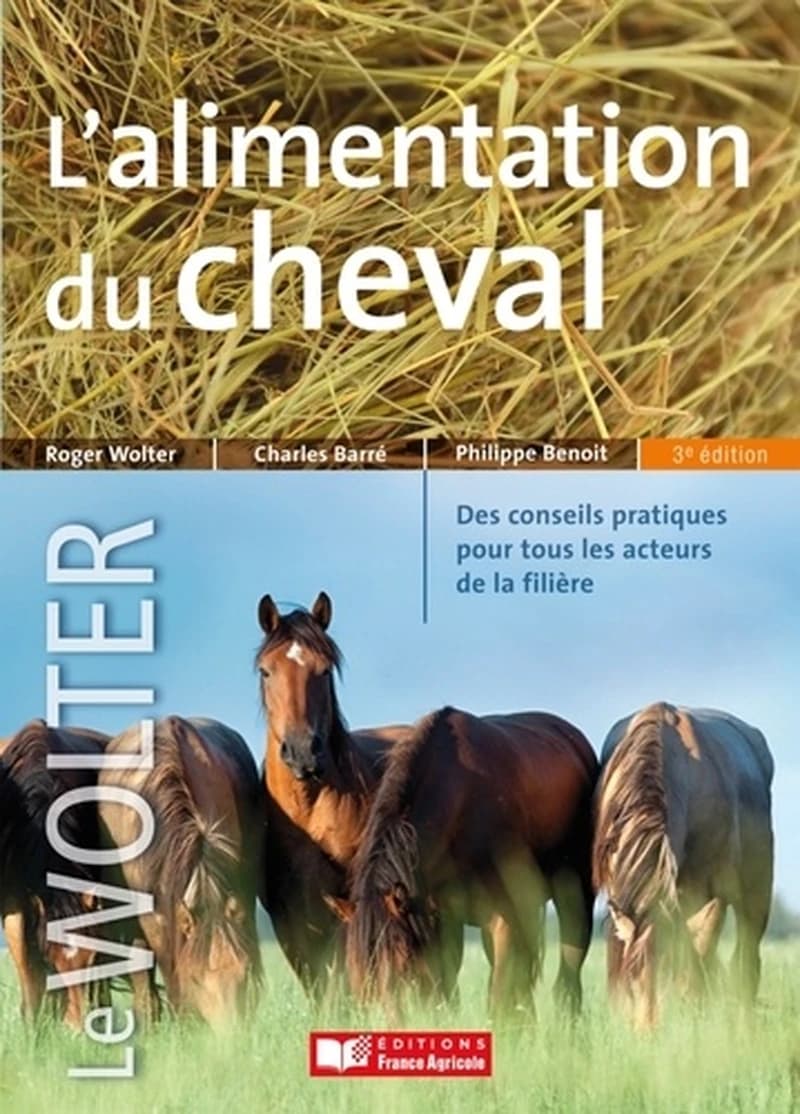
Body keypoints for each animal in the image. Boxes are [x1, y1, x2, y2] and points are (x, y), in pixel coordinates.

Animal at [327, 705, 599, 1015]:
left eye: (402, 965)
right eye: (358, 977)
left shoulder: (503, 919)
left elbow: (499, 997)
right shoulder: (440, 921)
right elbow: (446, 991)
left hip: (575, 898)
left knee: (568, 972)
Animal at [592, 702, 774, 1029]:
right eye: (634, 981)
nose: (648, 1033)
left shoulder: (710, 893)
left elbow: (695, 964)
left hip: (754, 895)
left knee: (745, 962)